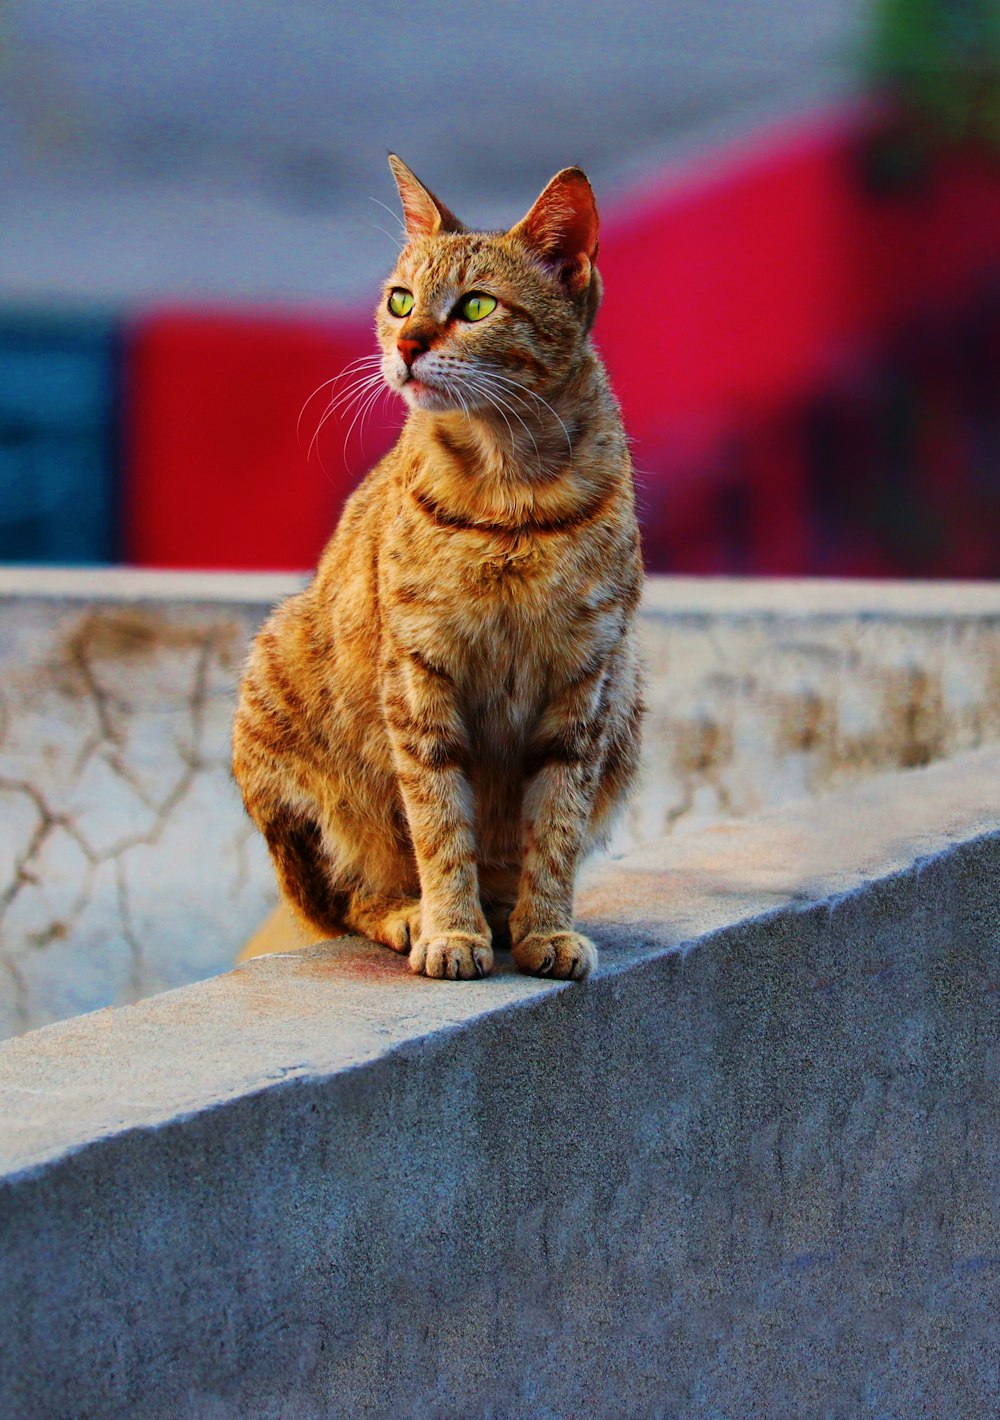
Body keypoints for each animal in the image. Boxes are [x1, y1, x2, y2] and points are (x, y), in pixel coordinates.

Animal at [230, 155, 642, 976]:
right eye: (401, 301)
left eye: (477, 306)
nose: (408, 344)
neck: (510, 491)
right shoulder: (420, 674)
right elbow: (439, 820)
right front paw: (451, 929)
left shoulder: (585, 678)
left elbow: (556, 827)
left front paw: (545, 927)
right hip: (275, 689)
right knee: (348, 897)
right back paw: (409, 913)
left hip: (630, 696)